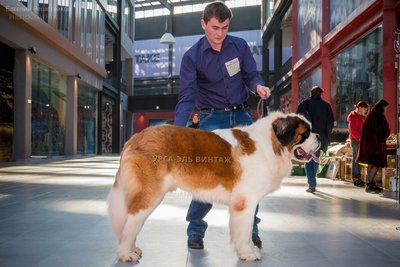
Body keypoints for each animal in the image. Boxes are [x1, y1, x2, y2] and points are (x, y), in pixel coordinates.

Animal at [108, 111, 320, 264]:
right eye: (305, 134)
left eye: (310, 131)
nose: (319, 136)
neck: (271, 144)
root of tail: (136, 137)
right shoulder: (245, 202)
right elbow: (244, 231)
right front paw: (248, 253)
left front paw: (249, 249)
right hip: (151, 194)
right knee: (132, 221)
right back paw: (125, 254)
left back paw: (132, 249)